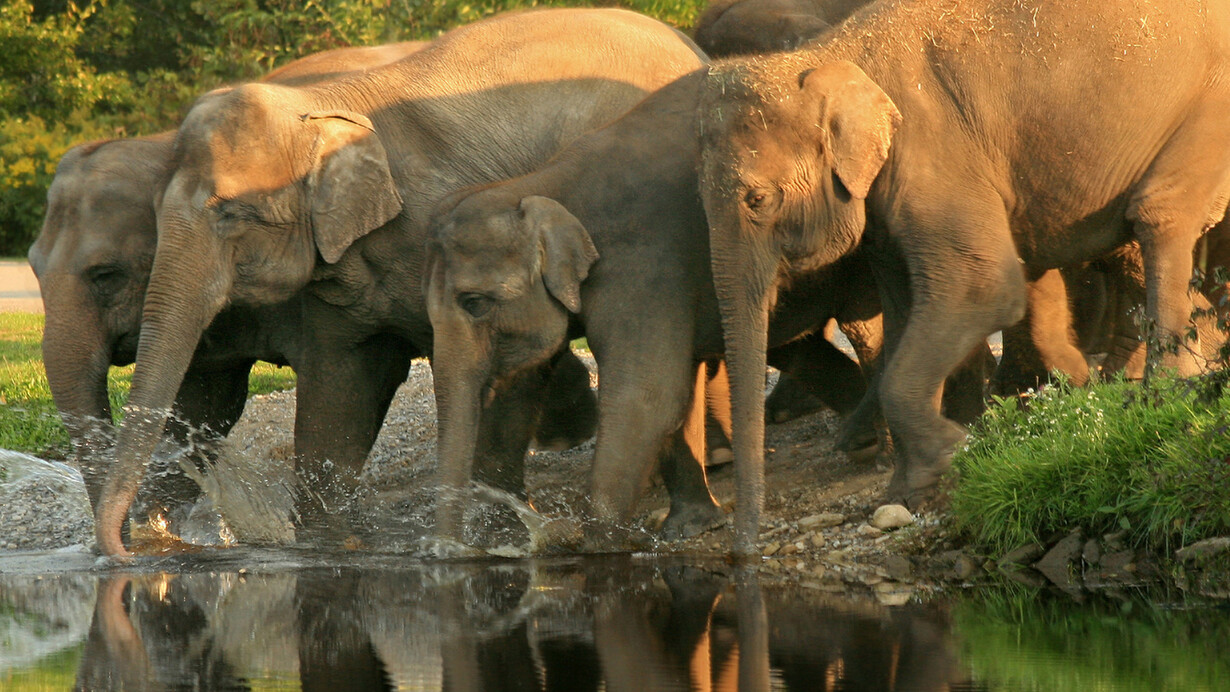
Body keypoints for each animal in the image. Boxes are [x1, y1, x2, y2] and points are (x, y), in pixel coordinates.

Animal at [91, 7, 707, 557]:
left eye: (230, 214)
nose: (126, 552)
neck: (327, 105)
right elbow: (342, 386)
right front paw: (328, 544)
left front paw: (494, 540)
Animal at [425, 69, 891, 545]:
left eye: (474, 303)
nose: (444, 550)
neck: (539, 183)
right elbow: (531, 384)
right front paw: (690, 527)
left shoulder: (646, 266)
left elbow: (646, 395)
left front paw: (593, 544)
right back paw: (862, 437)